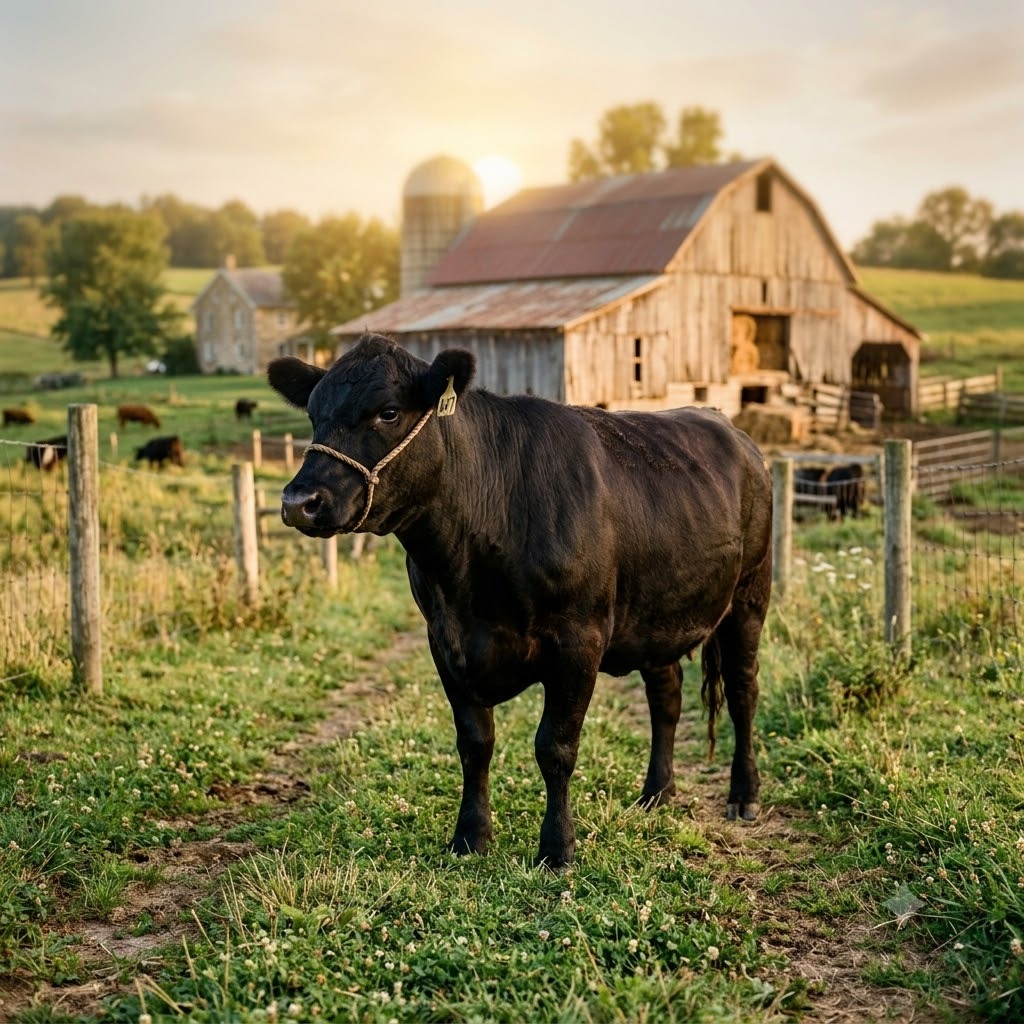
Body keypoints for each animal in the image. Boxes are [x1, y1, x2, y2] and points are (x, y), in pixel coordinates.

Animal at [267, 334, 773, 869]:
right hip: (657, 613)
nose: (299, 502)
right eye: (314, 414)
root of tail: (728, 426)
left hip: (749, 597)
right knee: (667, 696)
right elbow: (475, 742)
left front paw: (558, 847)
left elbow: (555, 747)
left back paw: (744, 794)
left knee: (743, 691)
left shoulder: (579, 640)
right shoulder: (444, 640)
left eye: (388, 412)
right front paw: (470, 837)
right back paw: (656, 793)